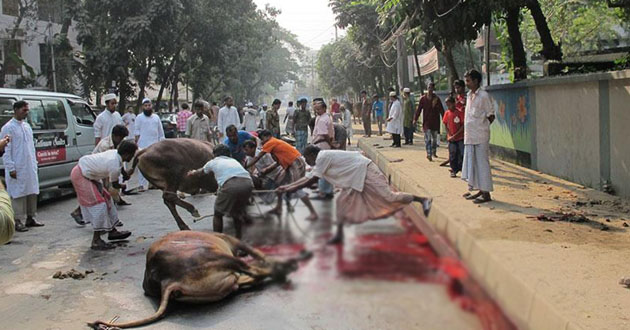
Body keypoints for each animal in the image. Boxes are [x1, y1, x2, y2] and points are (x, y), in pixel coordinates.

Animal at [87, 231, 308, 328]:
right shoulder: (235, 242)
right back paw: (289, 265)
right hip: (220, 257)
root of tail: (166, 279)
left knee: (246, 279)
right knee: (254, 271)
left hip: (223, 280)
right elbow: (258, 253)